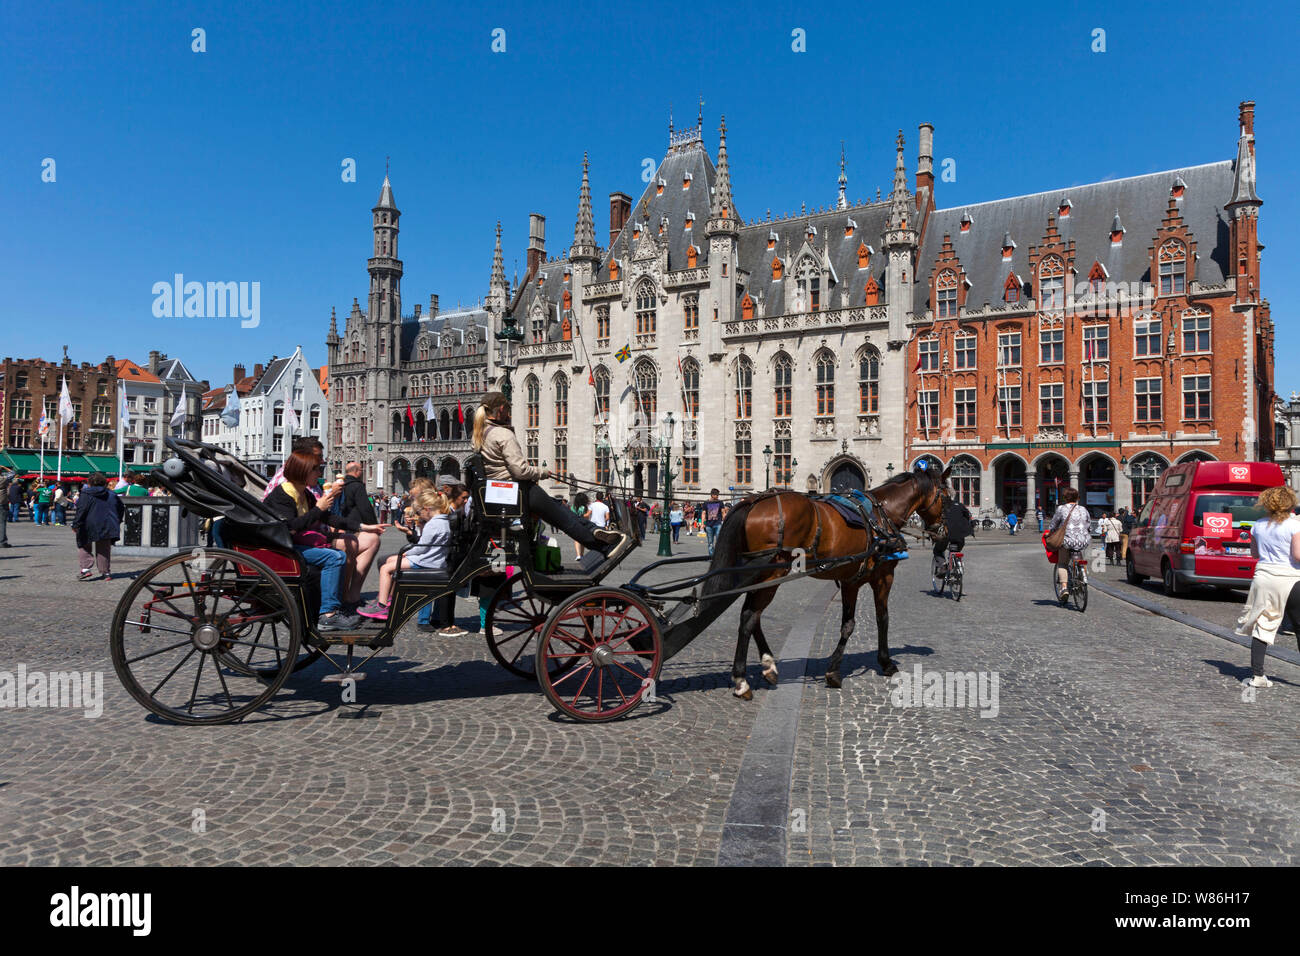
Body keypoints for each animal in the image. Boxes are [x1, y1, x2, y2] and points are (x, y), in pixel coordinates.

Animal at [665, 468, 951, 697]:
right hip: (771, 574)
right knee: (749, 616)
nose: (943, 532)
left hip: (760, 575)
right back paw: (742, 681)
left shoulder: (850, 579)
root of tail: (753, 499)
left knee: (752, 615)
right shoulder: (882, 576)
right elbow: (879, 619)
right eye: (947, 496)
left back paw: (768, 667)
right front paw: (882, 663)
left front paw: (835, 670)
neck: (882, 514)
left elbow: (848, 623)